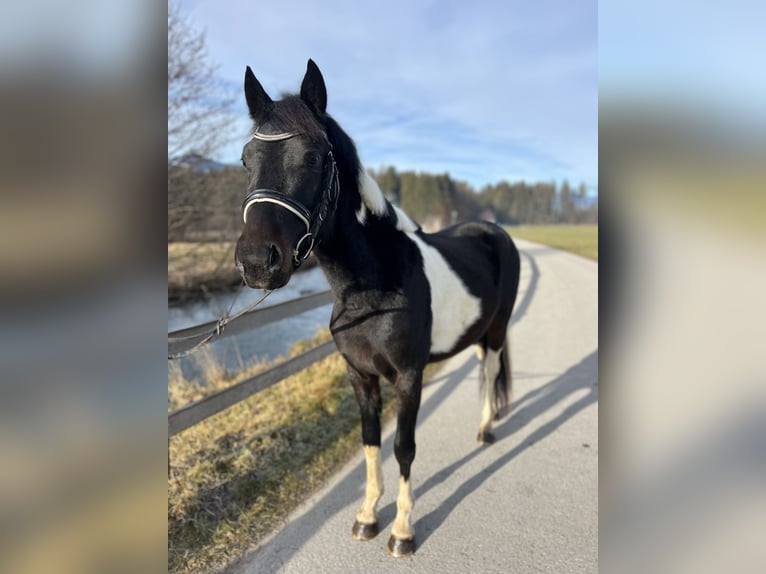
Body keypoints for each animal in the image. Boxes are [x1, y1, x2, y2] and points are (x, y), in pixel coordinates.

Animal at [234, 59, 520, 560]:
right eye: (247, 159)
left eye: (313, 157)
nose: (255, 262)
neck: (372, 287)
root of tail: (494, 231)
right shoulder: (359, 375)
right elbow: (371, 443)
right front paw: (367, 517)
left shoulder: (409, 376)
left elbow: (404, 446)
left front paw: (402, 531)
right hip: (479, 331)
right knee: (485, 368)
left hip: (500, 326)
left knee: (491, 368)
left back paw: (486, 431)